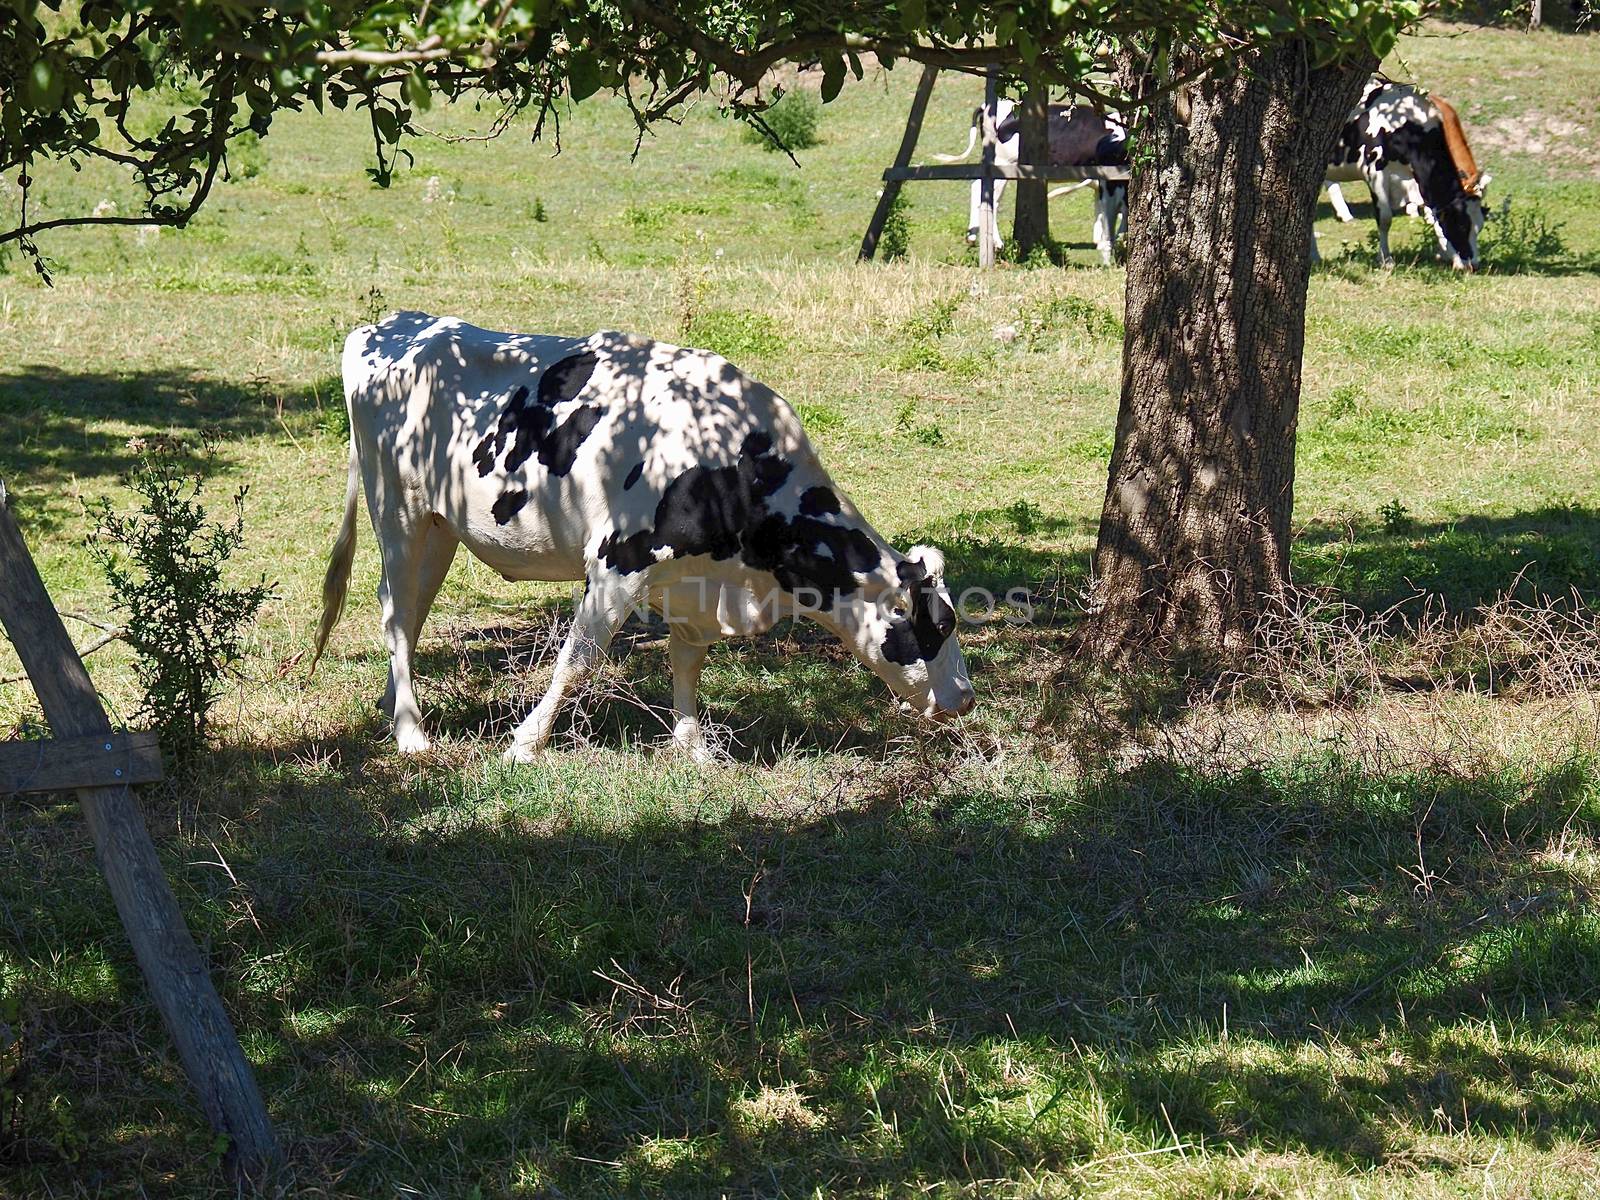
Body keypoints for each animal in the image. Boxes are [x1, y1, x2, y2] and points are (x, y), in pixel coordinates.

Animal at [312, 310, 972, 761]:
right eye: (935, 626)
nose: (965, 698)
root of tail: (390, 326)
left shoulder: (693, 583)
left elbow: (688, 661)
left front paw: (692, 747)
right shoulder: (615, 562)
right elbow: (578, 659)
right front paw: (525, 744)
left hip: (439, 526)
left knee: (413, 613)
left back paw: (398, 710)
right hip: (397, 510)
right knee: (395, 611)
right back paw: (411, 733)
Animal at [940, 100, 1132, 267]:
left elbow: (1101, 211)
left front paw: (1101, 240)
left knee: (979, 189)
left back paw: (972, 237)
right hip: (1003, 163)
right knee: (990, 197)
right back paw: (996, 243)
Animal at [1318, 79, 1491, 270]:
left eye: (1479, 226)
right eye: (1461, 225)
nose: (1473, 265)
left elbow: (1432, 215)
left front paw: (1443, 253)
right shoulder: (1375, 172)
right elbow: (1385, 219)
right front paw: (1386, 260)